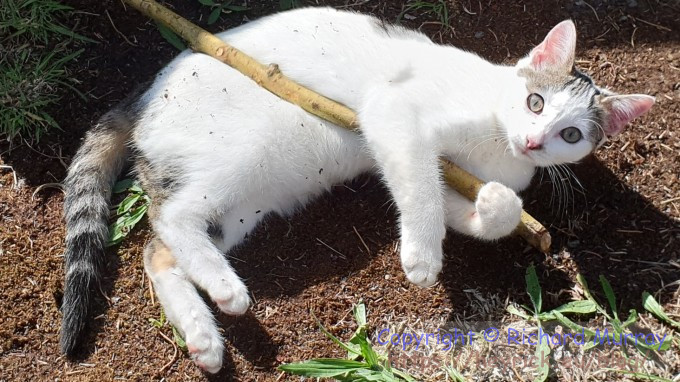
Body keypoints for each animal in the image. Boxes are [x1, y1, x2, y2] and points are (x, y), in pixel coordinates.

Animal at [61, 7, 656, 374]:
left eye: (571, 135)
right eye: (535, 101)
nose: (533, 142)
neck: (496, 144)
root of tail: (143, 96)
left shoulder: (457, 170)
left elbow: (482, 205)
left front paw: (491, 206)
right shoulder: (392, 112)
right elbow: (419, 187)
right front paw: (421, 257)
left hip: (248, 203)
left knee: (156, 252)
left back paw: (204, 335)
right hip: (244, 148)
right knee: (170, 218)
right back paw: (227, 292)